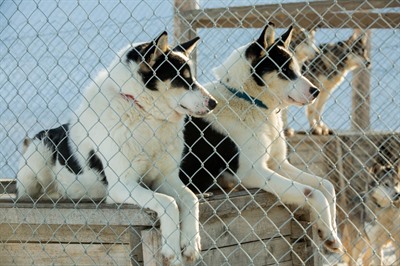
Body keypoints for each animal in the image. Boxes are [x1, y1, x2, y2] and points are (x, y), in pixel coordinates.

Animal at [17, 31, 217, 264]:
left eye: (191, 77)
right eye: (181, 78)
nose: (214, 103)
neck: (144, 113)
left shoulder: (165, 178)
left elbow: (190, 199)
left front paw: (191, 242)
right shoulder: (123, 185)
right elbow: (169, 203)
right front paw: (172, 249)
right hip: (39, 158)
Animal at [180, 22, 342, 251]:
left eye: (297, 69)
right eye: (285, 70)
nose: (316, 91)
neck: (248, 100)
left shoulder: (278, 164)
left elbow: (326, 185)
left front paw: (331, 231)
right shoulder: (253, 172)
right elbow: (312, 192)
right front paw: (327, 232)